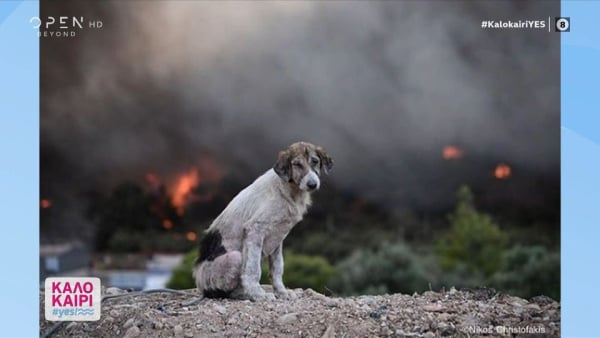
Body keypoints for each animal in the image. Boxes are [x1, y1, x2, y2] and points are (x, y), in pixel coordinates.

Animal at [193, 141, 330, 300]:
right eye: (297, 164)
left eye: (315, 161)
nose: (312, 184)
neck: (288, 190)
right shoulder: (255, 229)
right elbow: (253, 269)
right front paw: (258, 294)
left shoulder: (278, 236)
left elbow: (277, 268)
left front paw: (282, 292)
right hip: (234, 257)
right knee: (224, 291)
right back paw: (245, 294)